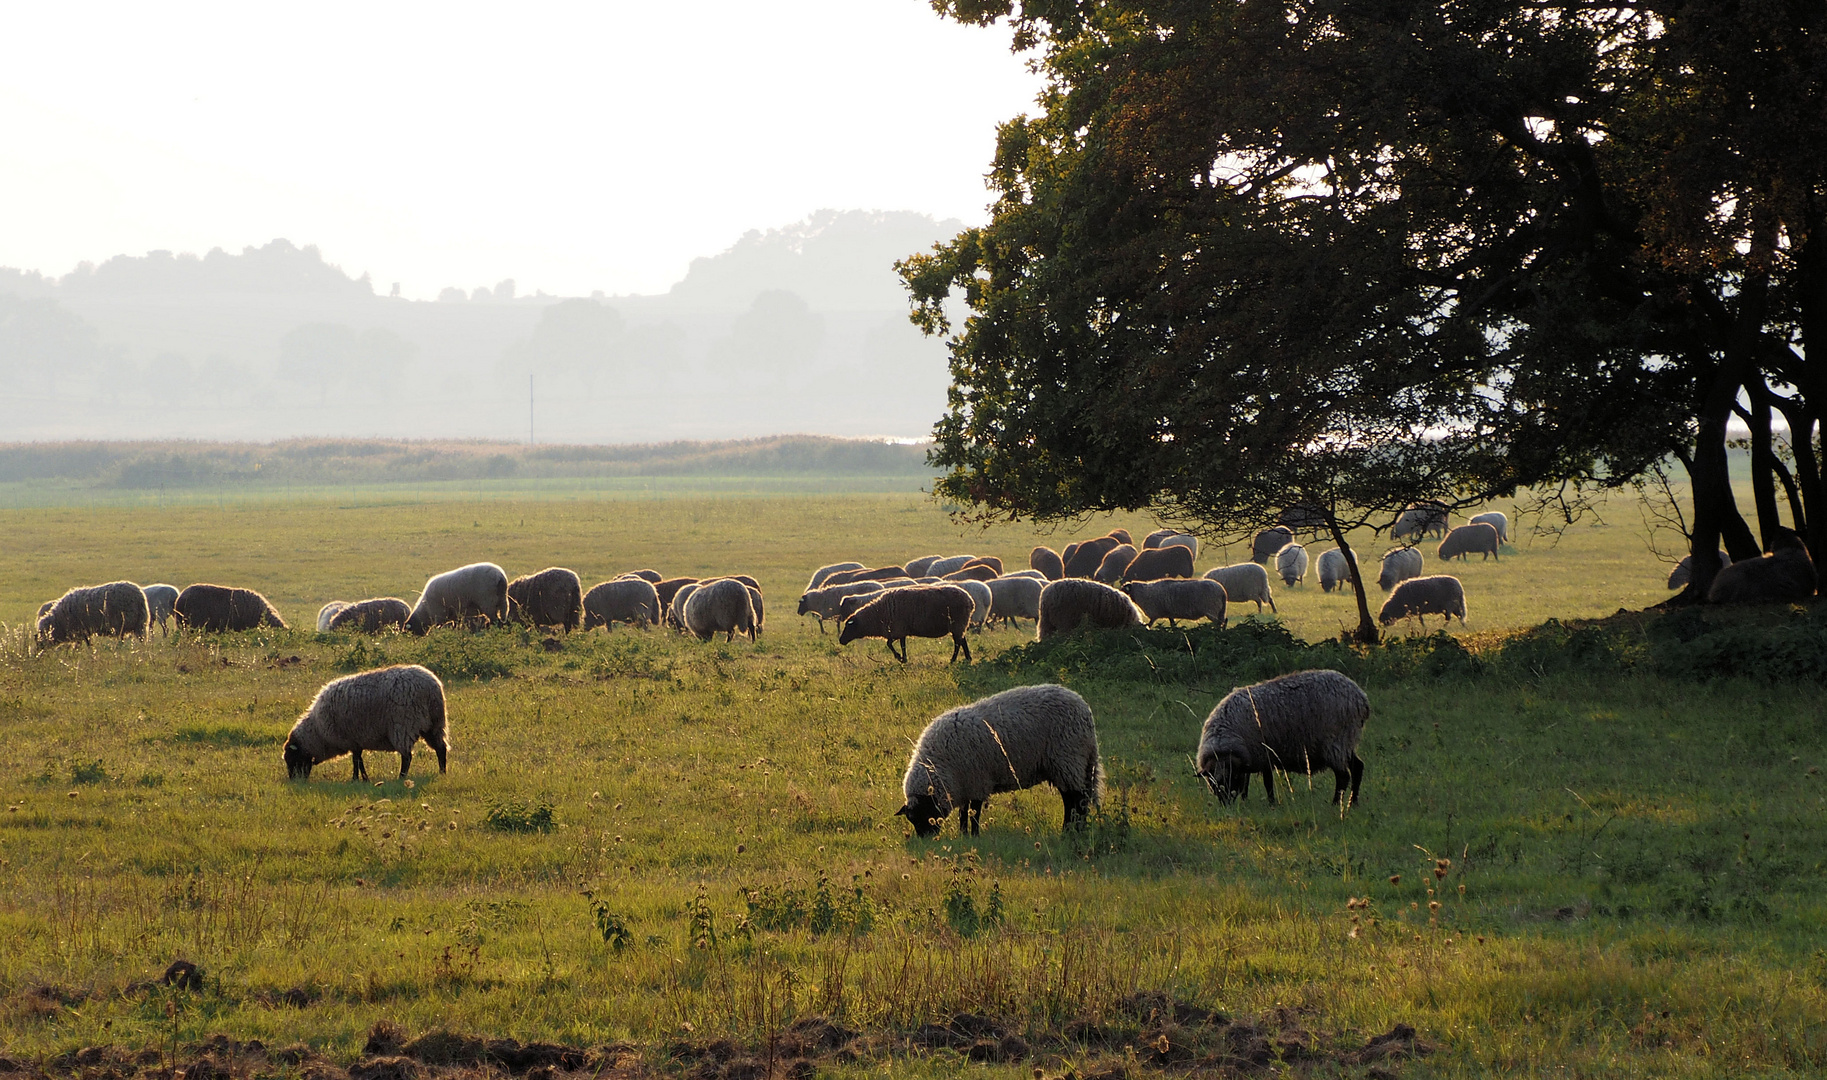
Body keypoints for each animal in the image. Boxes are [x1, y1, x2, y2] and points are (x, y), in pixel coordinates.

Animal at [286, 665, 454, 782]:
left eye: (293, 759)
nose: (295, 781)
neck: (317, 731)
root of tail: (432, 687)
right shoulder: (356, 741)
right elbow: (359, 760)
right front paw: (364, 779)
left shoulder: (350, 739)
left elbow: (356, 761)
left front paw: (355, 779)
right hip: (434, 724)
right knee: (441, 749)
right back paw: (442, 772)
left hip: (404, 726)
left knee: (407, 756)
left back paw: (401, 777)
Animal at [836, 588, 979, 665]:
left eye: (849, 627)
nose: (841, 640)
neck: (878, 613)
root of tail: (970, 601)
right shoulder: (900, 630)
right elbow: (901, 645)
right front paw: (903, 658)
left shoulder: (897, 629)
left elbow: (890, 644)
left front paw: (900, 658)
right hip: (959, 625)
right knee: (962, 641)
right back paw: (968, 658)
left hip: (958, 623)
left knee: (958, 643)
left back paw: (953, 660)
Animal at [895, 683, 1096, 836]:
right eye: (911, 819)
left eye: (923, 814)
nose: (927, 838)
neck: (940, 764)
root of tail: (1084, 708)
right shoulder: (965, 784)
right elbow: (964, 813)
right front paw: (963, 834)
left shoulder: (978, 782)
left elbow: (974, 813)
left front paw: (974, 835)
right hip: (1067, 765)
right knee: (1075, 800)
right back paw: (1075, 830)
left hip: (1068, 760)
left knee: (1076, 800)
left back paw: (1071, 831)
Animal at [1198, 672, 1373, 807]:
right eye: (1214, 783)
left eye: (1232, 778)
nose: (1227, 805)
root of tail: (1361, 698)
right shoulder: (1252, 757)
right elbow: (1248, 782)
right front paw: (1245, 800)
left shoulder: (1262, 754)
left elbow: (1267, 783)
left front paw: (1271, 804)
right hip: (1346, 743)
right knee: (1358, 767)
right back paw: (1353, 803)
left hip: (1335, 744)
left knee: (1343, 775)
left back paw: (1336, 803)